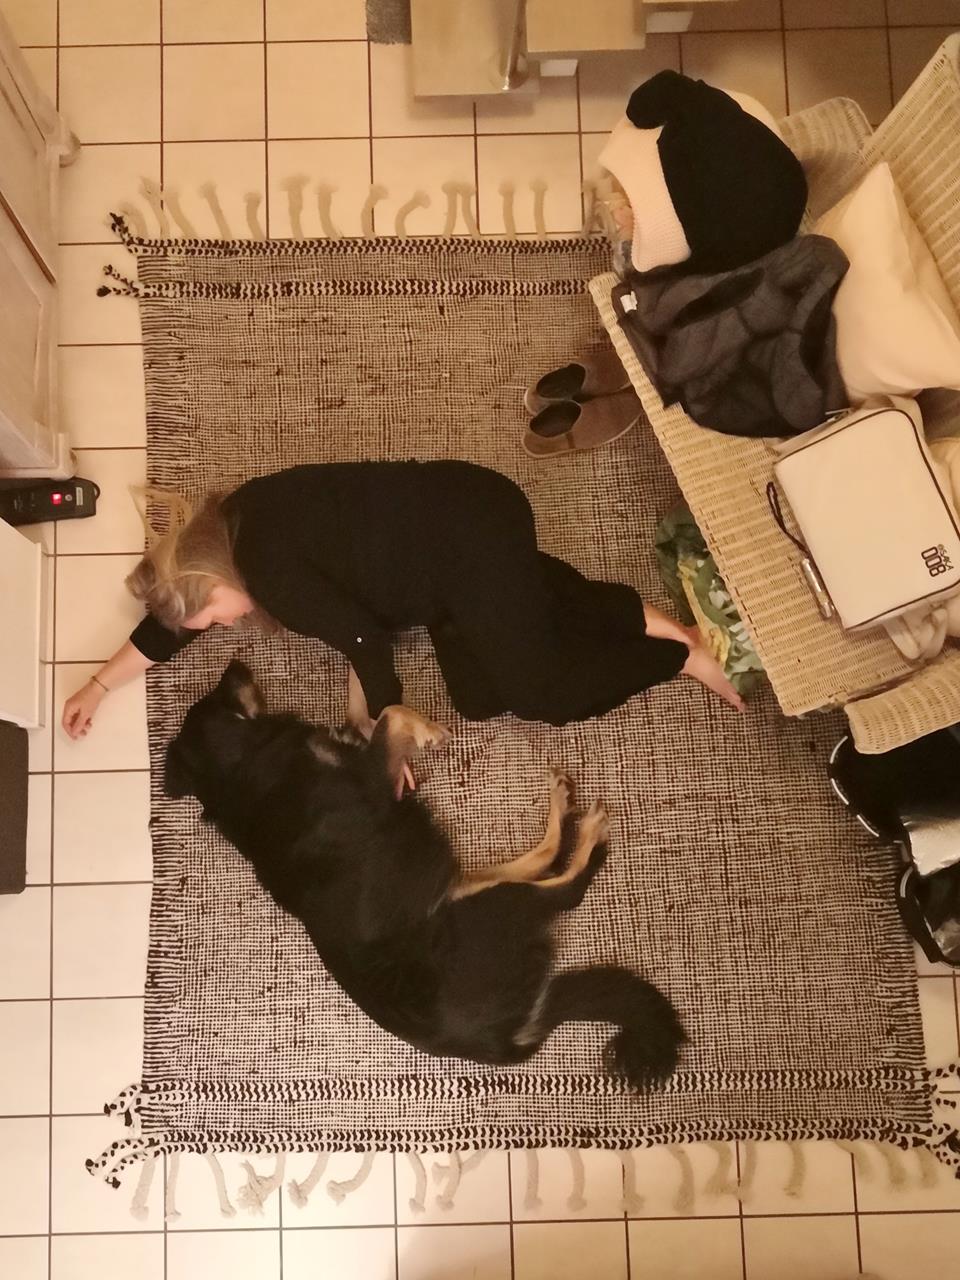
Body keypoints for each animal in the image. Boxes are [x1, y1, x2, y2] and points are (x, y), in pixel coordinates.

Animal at [165, 661, 685, 1086]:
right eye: (219, 695)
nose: (235, 662)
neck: (237, 773)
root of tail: (513, 1038)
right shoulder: (374, 779)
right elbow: (392, 714)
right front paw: (430, 730)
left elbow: (369, 710)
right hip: (482, 904)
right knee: (566, 886)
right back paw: (588, 832)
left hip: (457, 884)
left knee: (541, 858)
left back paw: (559, 807)